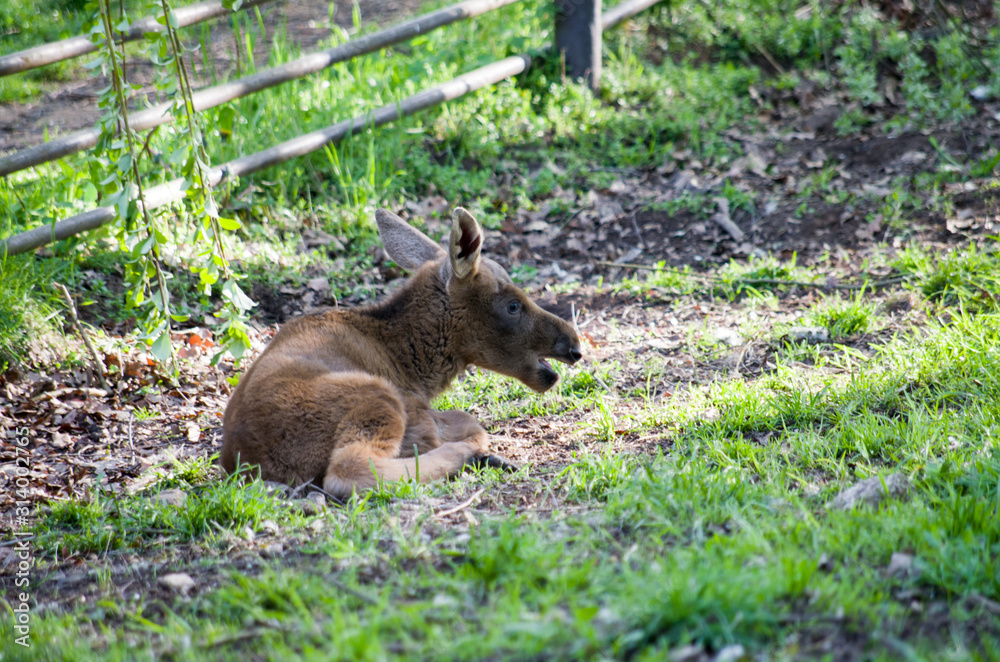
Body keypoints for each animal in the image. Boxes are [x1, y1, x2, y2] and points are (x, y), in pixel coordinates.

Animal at [221, 207, 582, 498]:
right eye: (513, 305)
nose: (574, 345)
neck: (414, 365)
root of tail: (247, 466)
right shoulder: (415, 409)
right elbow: (470, 423)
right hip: (374, 394)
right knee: (346, 473)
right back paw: (467, 456)